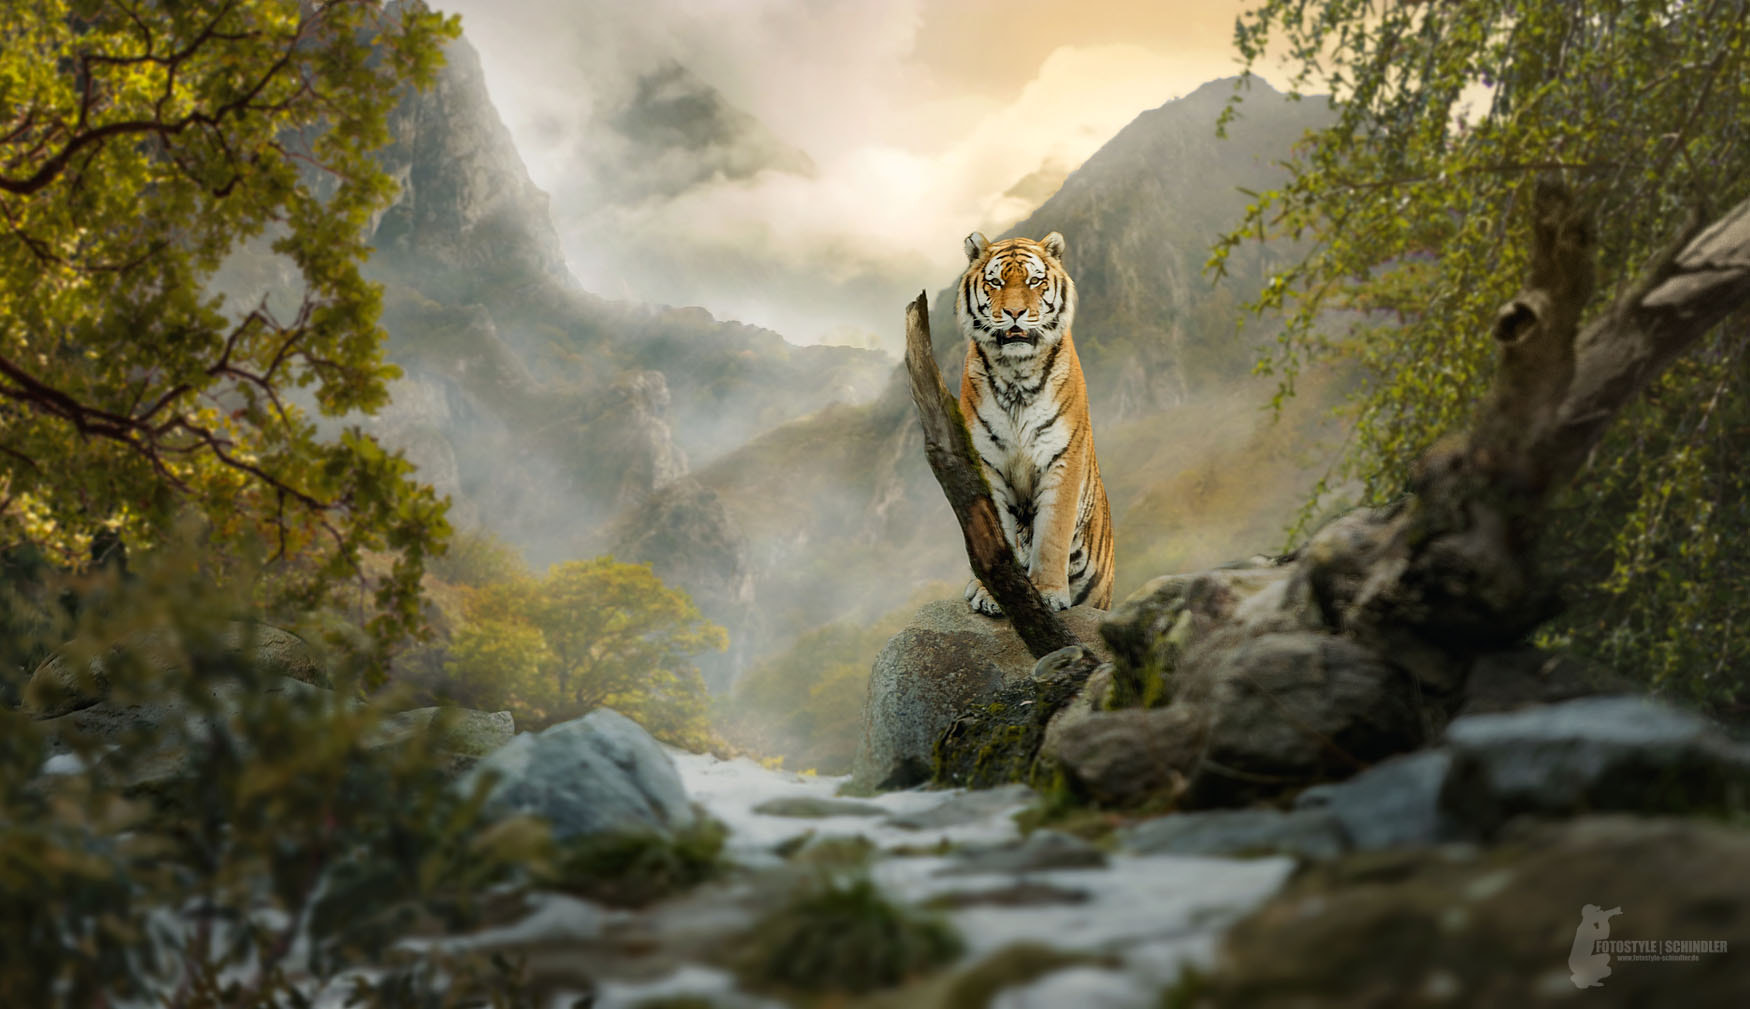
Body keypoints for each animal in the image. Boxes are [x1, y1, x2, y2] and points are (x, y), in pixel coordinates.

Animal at [956, 230, 1114, 614]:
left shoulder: (1063, 457)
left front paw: (1048, 591)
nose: (1015, 313)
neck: (1017, 373)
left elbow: (1052, 531)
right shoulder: (985, 461)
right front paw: (989, 594)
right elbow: (994, 532)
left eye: (1034, 281)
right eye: (996, 282)